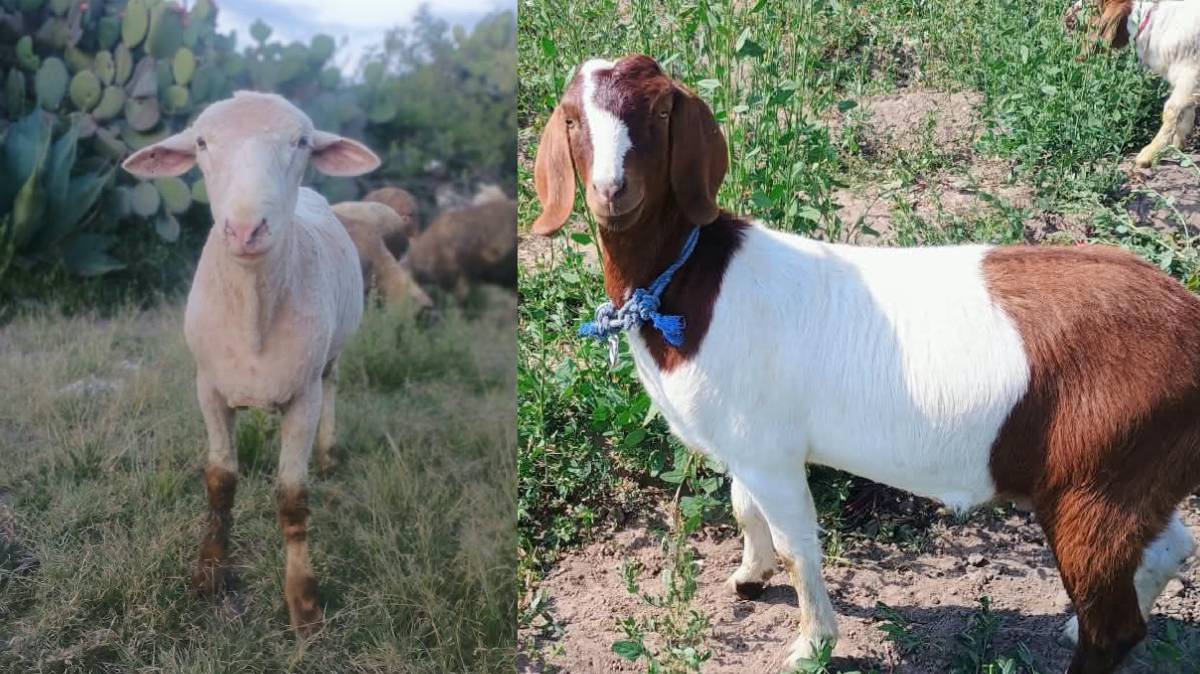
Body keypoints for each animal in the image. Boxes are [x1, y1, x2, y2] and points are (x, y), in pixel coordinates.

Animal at [122, 91, 381, 636]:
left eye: (301, 142)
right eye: (201, 142)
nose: (244, 229)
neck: (252, 308)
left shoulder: (302, 394)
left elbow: (292, 497)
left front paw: (304, 605)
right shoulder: (208, 387)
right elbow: (220, 481)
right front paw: (209, 574)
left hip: (331, 356)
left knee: (333, 386)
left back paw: (329, 453)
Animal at [531, 55, 1200, 674]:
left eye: (661, 113)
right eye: (571, 118)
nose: (612, 191)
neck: (692, 283)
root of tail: (1189, 319)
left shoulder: (771, 452)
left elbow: (798, 546)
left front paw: (811, 645)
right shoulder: (747, 440)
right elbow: (744, 507)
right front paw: (749, 578)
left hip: (1097, 484)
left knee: (1114, 624)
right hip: (1137, 473)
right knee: (1173, 546)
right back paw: (1073, 624)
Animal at [1068, 0, 1200, 167]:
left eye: (1091, 6)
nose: (1067, 16)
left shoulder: (1191, 73)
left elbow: (1171, 110)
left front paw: (1148, 155)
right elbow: (1186, 112)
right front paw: (1177, 145)